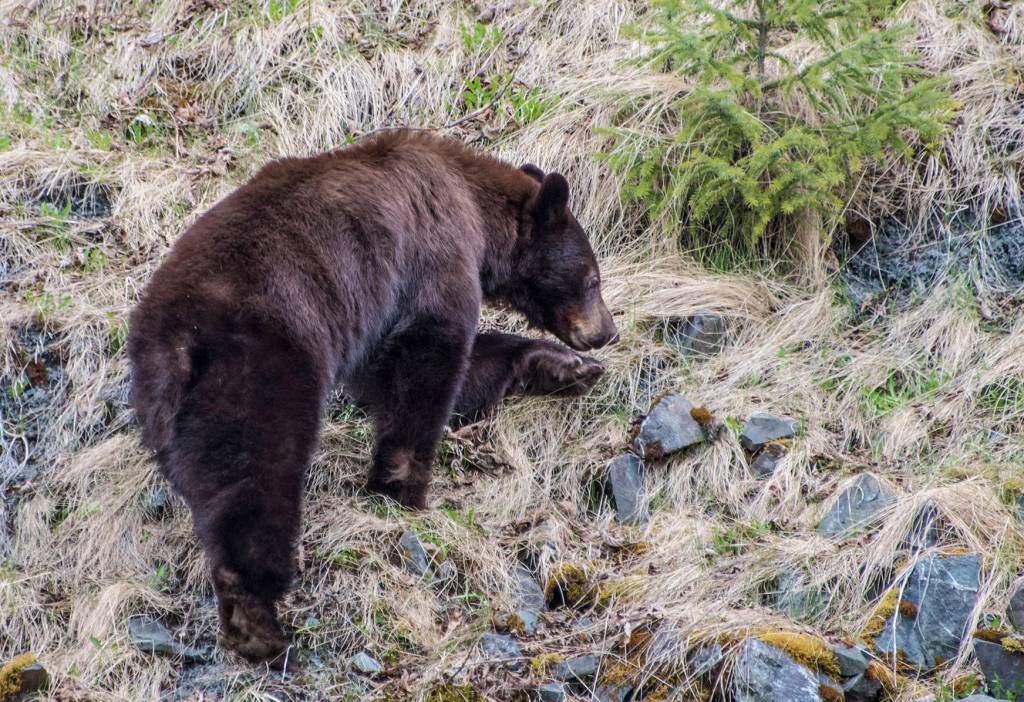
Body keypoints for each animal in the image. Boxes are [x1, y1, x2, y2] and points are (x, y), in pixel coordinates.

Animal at [127, 130, 618, 669]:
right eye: (593, 278)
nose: (608, 332)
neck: (474, 207)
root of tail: (175, 341)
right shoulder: (433, 254)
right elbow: (429, 358)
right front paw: (404, 490)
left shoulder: (374, 317)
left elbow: (395, 374)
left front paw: (564, 367)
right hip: (258, 368)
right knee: (256, 480)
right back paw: (261, 628)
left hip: (175, 414)